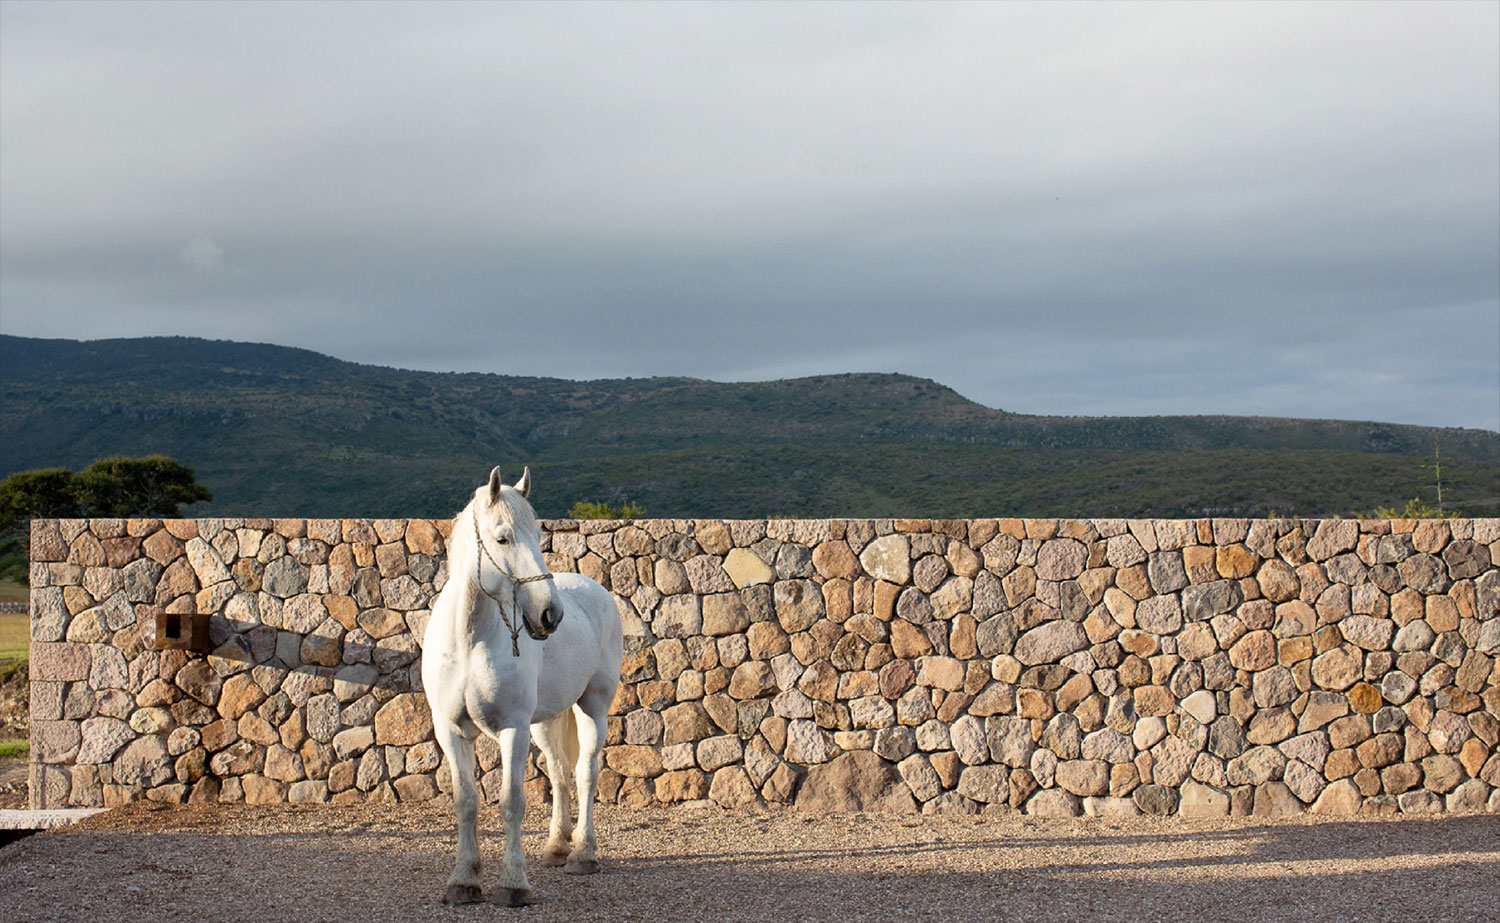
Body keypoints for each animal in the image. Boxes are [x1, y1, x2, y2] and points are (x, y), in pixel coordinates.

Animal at [423, 474, 621, 906]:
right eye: (503, 538)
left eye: (539, 533)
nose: (550, 614)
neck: (469, 640)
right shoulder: (450, 730)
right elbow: (466, 801)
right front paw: (463, 880)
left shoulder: (512, 729)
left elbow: (511, 801)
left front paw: (513, 884)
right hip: (543, 723)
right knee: (560, 774)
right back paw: (557, 847)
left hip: (592, 708)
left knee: (585, 774)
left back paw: (583, 854)